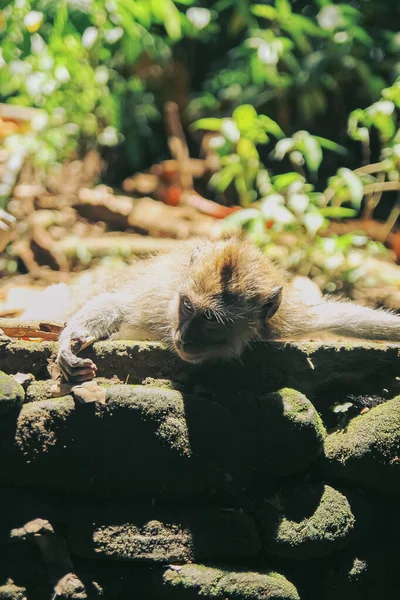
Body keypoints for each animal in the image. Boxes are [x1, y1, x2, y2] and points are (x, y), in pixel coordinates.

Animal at [57, 238, 400, 382]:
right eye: (187, 306)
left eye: (210, 319)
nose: (184, 338)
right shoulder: (159, 302)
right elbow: (118, 304)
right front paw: (71, 343)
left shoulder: (282, 320)